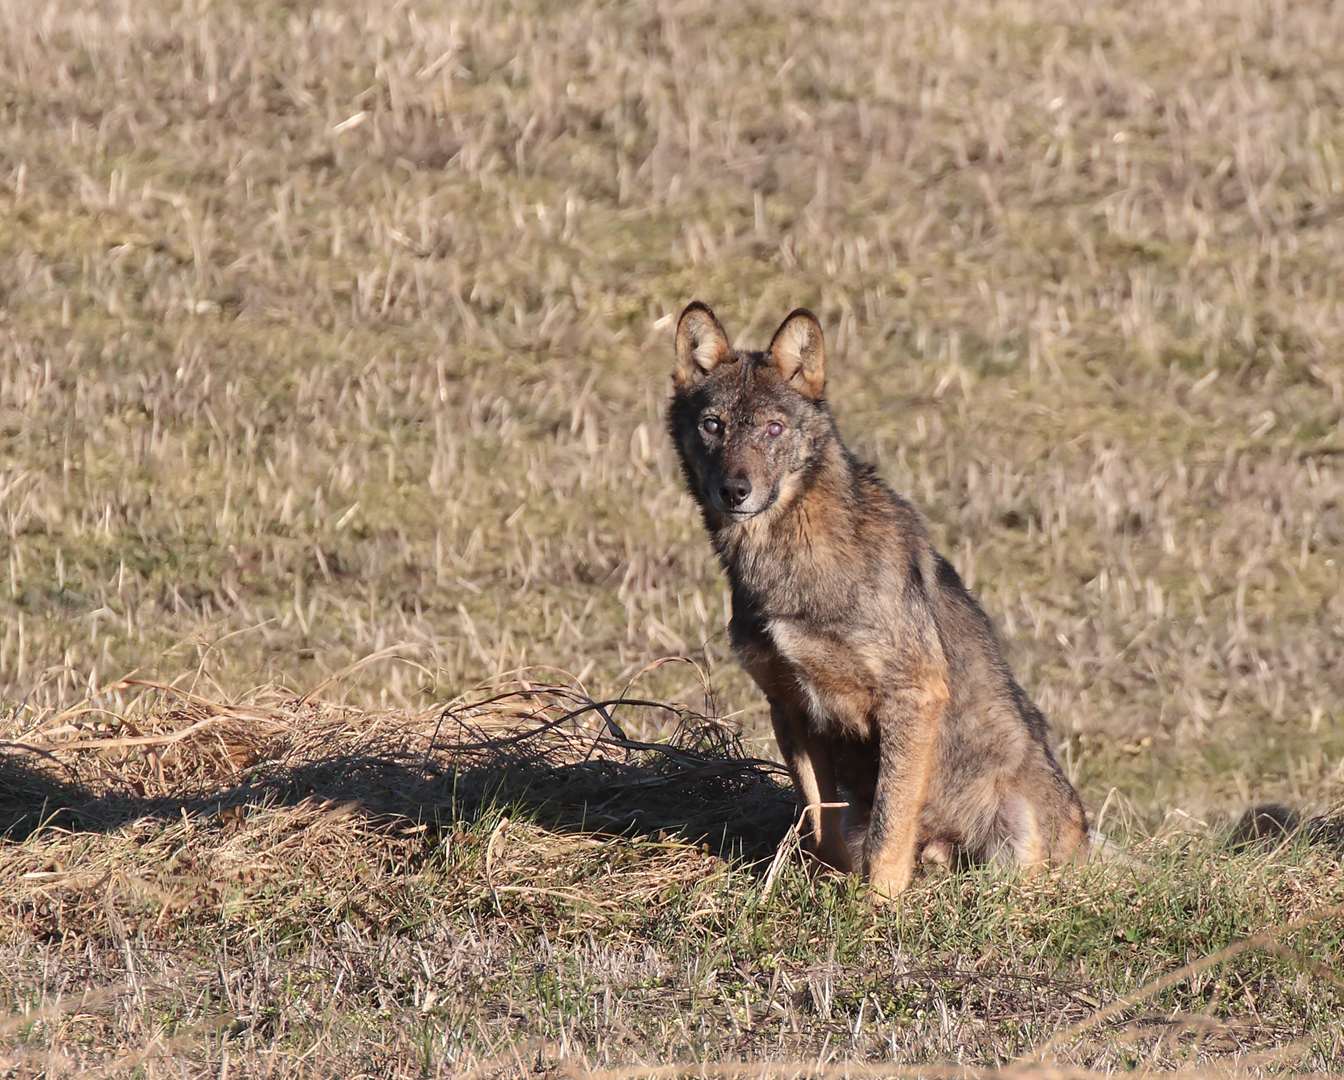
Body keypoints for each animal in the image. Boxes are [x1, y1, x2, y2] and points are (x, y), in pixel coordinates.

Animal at [668, 302, 1088, 896]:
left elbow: (892, 821)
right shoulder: (791, 708)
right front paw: (826, 886)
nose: (735, 491)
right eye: (713, 426)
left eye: (773, 428)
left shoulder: (911, 696)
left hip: (1017, 819)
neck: (787, 567)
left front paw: (879, 902)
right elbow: (819, 818)